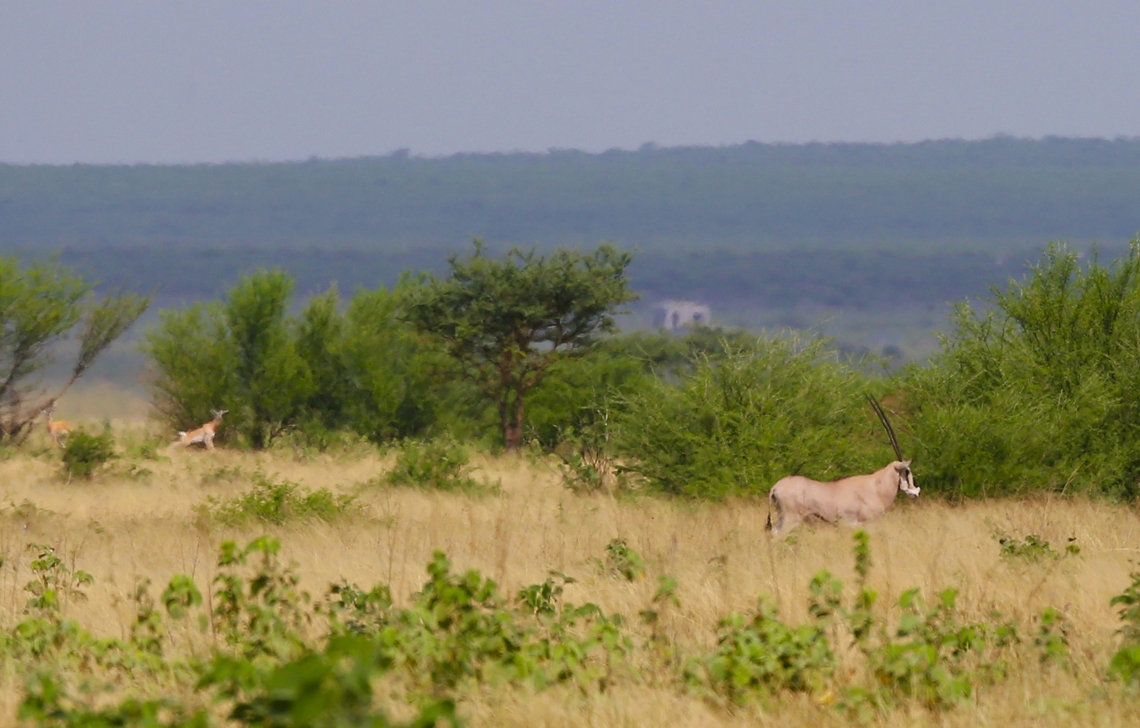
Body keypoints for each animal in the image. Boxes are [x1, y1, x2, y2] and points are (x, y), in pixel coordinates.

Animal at [766, 395, 919, 536]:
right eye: (907, 471)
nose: (916, 492)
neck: (877, 487)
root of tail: (775, 488)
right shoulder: (868, 524)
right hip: (790, 521)